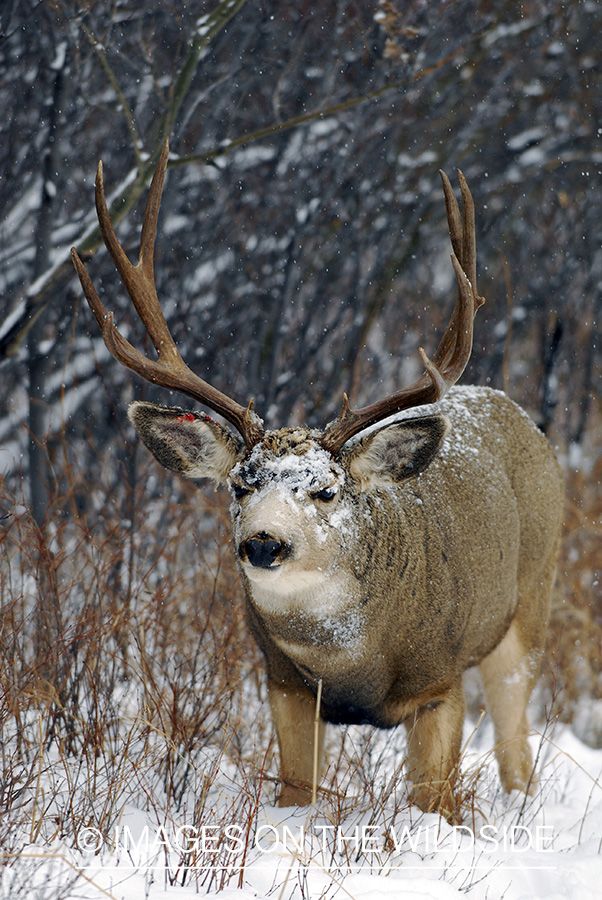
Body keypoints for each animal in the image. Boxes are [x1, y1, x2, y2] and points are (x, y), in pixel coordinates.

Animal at [72, 139, 564, 819]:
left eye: (325, 490)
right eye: (240, 484)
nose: (263, 543)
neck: (353, 663)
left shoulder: (441, 681)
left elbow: (433, 803)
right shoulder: (284, 683)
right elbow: (295, 793)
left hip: (530, 603)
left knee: (518, 753)